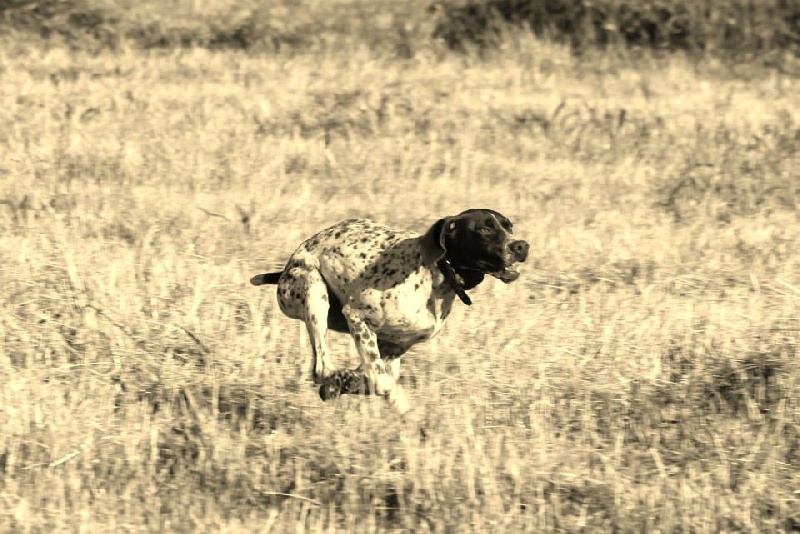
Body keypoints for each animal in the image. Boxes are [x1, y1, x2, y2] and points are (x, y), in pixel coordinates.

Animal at [247, 209, 528, 414]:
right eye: (484, 229)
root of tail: (284, 269)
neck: (437, 272)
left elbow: (372, 375)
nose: (521, 246)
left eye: (509, 226)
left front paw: (347, 383)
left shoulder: (395, 345)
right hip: (314, 291)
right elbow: (378, 381)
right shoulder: (357, 316)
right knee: (322, 368)